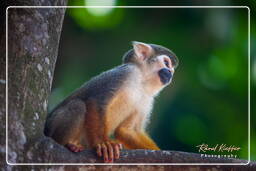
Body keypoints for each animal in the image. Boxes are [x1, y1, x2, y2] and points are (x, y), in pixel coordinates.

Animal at [44, 41, 178, 163]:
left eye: (172, 69)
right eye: (167, 63)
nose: (171, 73)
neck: (141, 81)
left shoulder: (147, 98)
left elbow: (126, 130)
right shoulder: (126, 72)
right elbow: (96, 102)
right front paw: (103, 143)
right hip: (52, 125)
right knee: (77, 106)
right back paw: (67, 144)